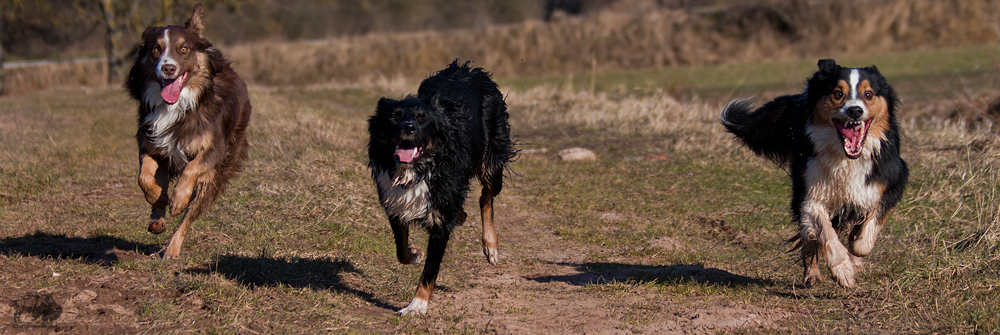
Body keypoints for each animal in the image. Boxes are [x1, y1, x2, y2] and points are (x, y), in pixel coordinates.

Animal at [125, 3, 252, 260]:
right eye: (156, 49)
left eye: (184, 48)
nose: (168, 67)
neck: (176, 106)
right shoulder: (152, 143)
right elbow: (143, 176)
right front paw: (157, 198)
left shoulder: (214, 149)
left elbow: (191, 169)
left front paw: (178, 199)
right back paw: (157, 217)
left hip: (216, 174)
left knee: (189, 216)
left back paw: (172, 249)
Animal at [372, 60, 520, 316]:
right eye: (394, 116)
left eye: (422, 118)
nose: (408, 127)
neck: (418, 169)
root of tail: (466, 69)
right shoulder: (395, 203)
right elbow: (401, 250)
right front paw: (415, 253)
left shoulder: (440, 220)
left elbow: (430, 269)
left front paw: (417, 305)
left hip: (491, 162)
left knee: (485, 198)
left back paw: (490, 245)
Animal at [724, 59, 912, 288]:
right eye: (838, 93)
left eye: (868, 94)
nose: (855, 110)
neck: (846, 158)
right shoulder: (809, 190)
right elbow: (825, 232)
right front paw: (842, 270)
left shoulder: (893, 180)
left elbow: (866, 234)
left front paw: (855, 250)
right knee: (809, 238)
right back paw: (812, 275)